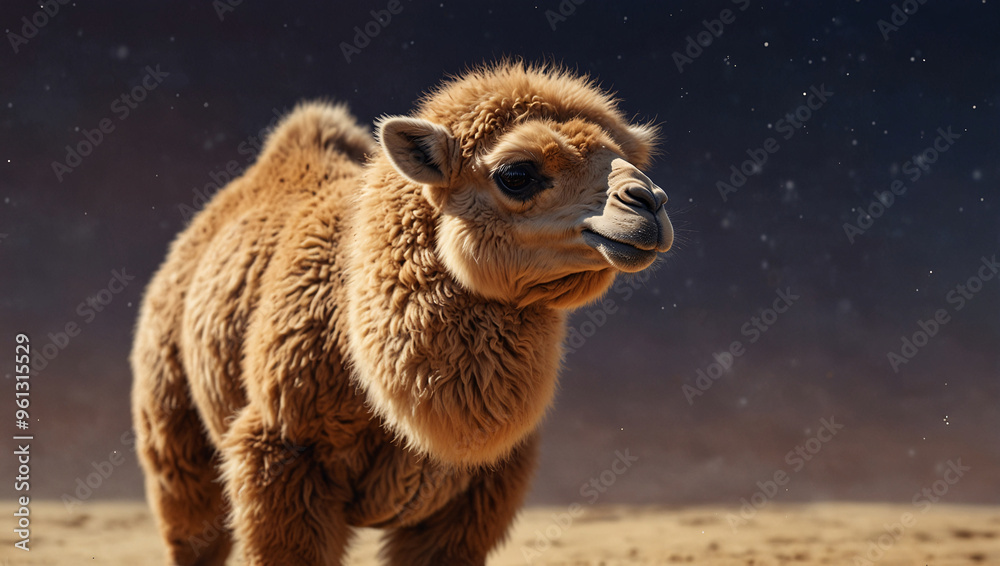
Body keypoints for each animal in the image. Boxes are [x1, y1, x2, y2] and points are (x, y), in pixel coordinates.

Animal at [130, 62, 673, 565]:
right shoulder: (281, 450)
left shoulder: (479, 491)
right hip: (172, 418)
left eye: (630, 159)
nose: (647, 203)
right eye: (517, 174)